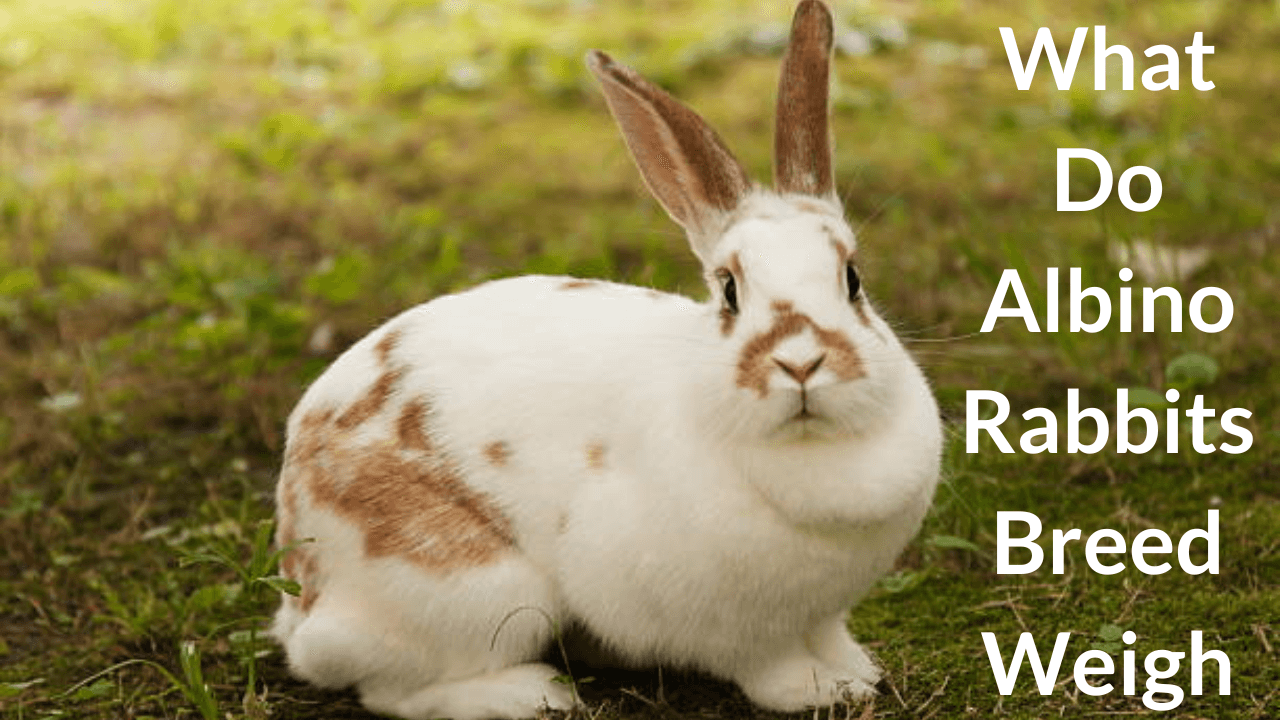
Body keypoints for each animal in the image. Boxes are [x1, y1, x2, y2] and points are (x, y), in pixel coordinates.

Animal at [270, 2, 947, 712]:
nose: (801, 363)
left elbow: (830, 633)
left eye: (853, 279)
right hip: (477, 593)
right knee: (390, 687)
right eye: (730, 291)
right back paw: (531, 693)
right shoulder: (745, 632)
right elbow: (770, 664)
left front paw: (855, 671)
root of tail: (304, 584)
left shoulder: (823, 612)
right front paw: (817, 689)